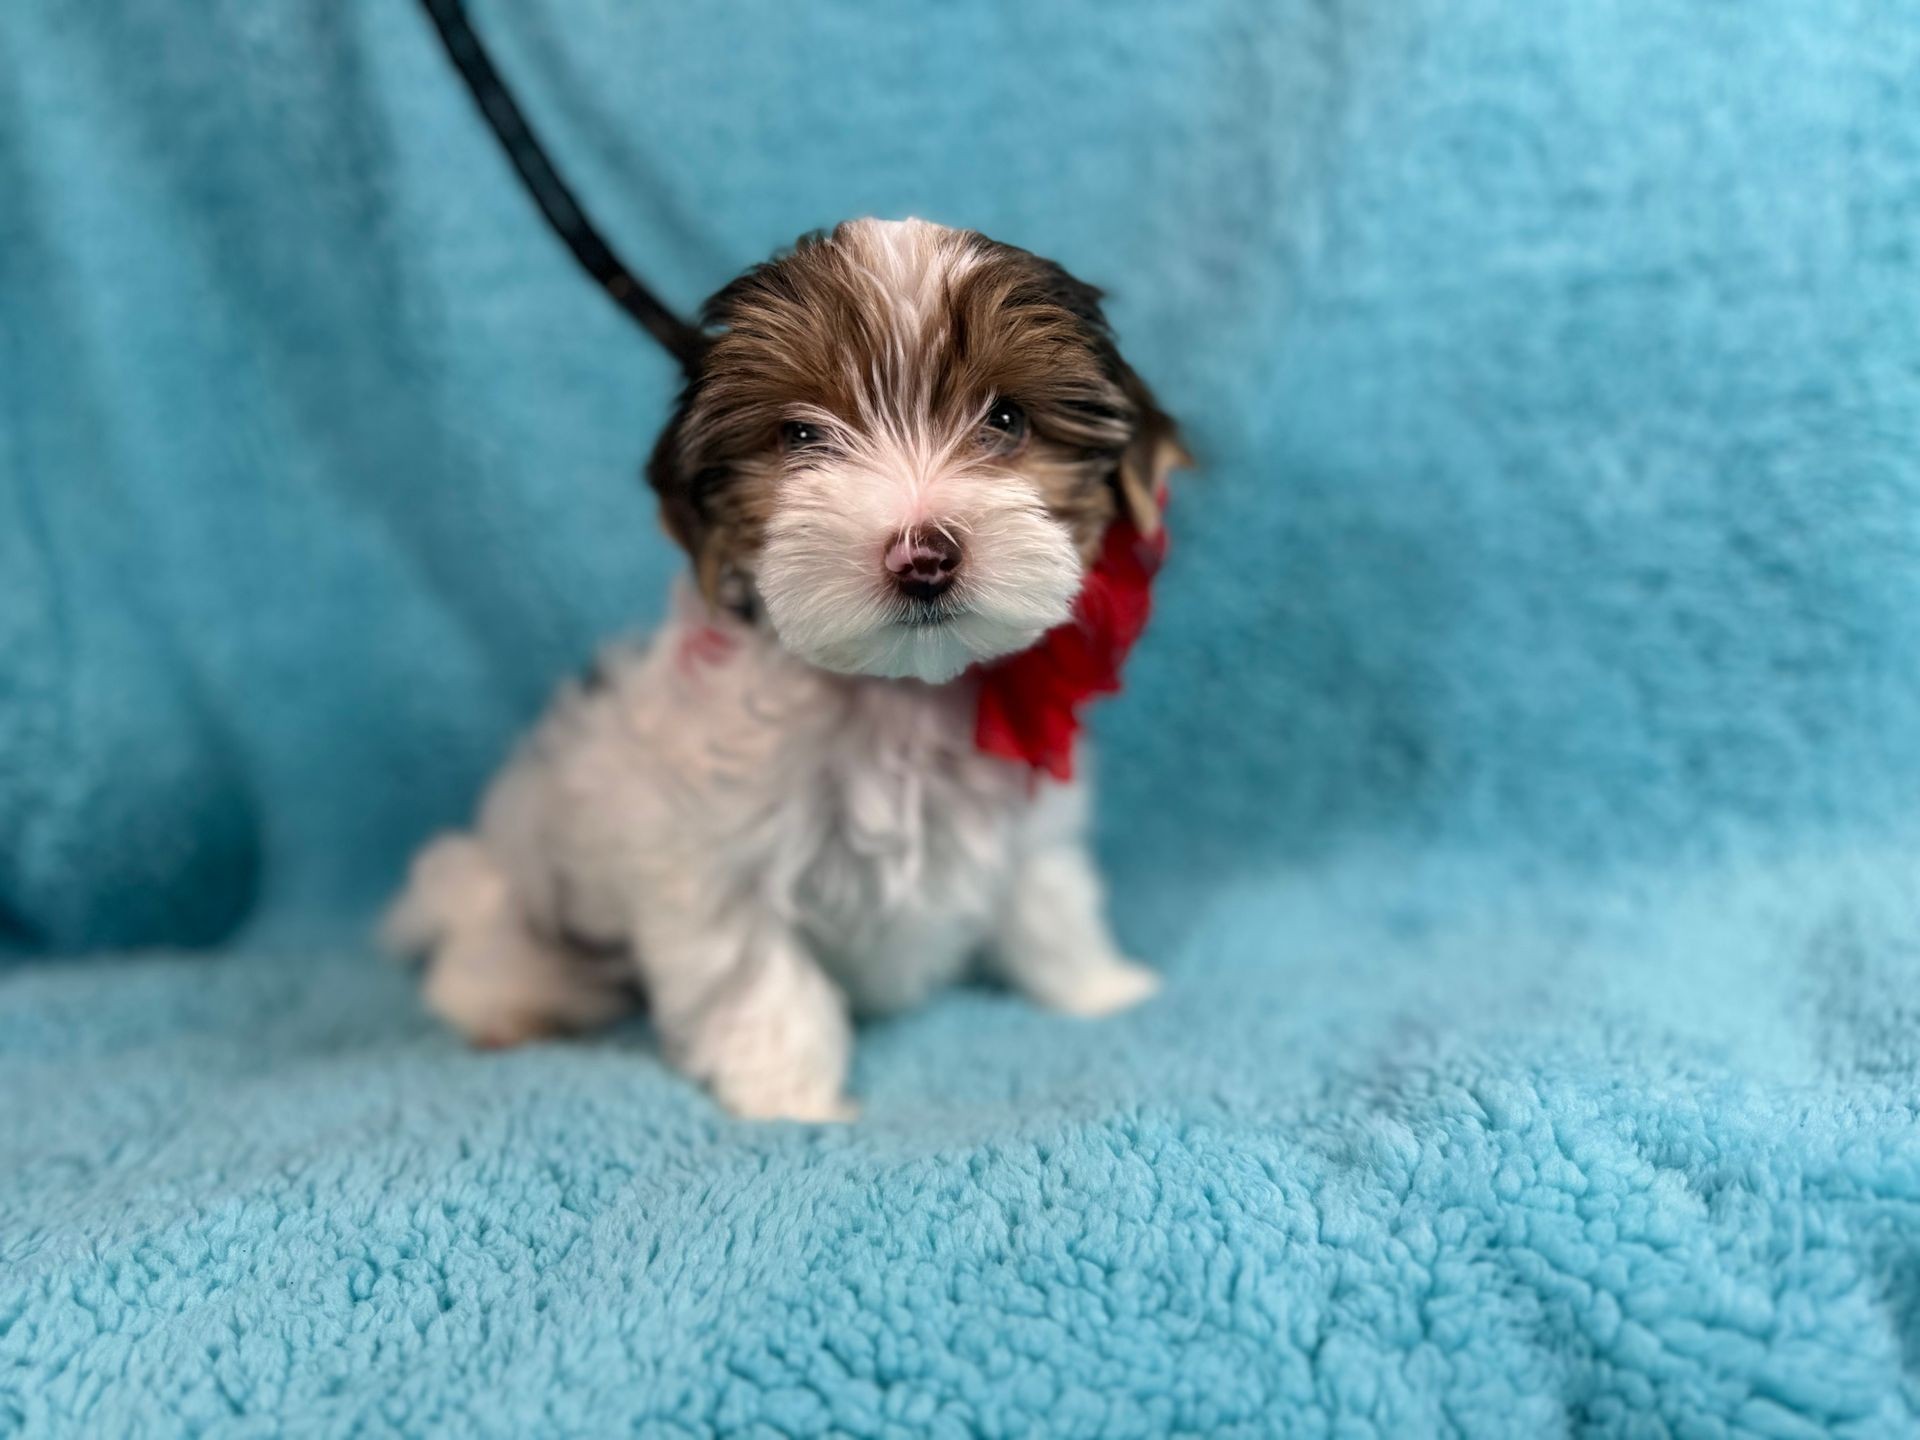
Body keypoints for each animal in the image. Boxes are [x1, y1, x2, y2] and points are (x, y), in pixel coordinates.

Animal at [389, 216, 1182, 1128]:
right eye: (801, 436)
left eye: (1008, 418)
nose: (924, 557)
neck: (896, 696)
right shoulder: (712, 857)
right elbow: (762, 977)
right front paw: (794, 1103)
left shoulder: (1025, 813)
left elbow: (1048, 894)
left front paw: (1100, 989)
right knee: (483, 954)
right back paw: (511, 1005)